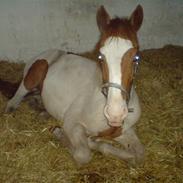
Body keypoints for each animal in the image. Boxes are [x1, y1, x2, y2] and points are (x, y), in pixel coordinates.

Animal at [5, 5, 144, 166]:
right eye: (100, 56)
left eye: (136, 57)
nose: (115, 113)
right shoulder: (71, 123)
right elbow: (83, 154)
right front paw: (59, 132)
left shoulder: (126, 130)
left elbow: (138, 154)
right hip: (37, 69)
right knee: (18, 94)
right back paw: (13, 107)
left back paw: (40, 108)